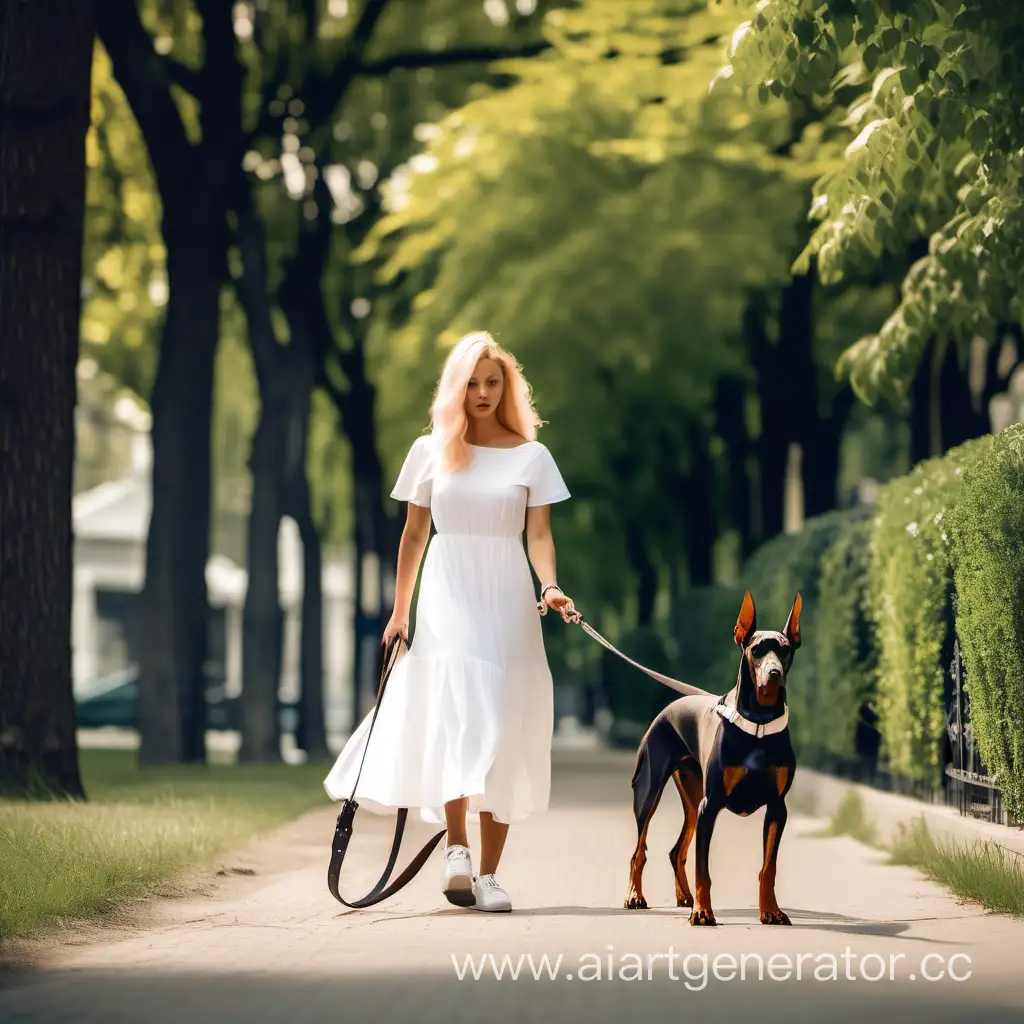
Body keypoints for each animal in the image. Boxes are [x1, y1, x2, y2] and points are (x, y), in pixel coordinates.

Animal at [622, 589, 798, 925]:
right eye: (756, 650)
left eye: (785, 650)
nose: (774, 674)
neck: (758, 722)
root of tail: (668, 708)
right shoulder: (711, 804)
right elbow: (702, 869)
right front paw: (703, 913)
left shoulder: (777, 807)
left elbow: (768, 868)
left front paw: (770, 910)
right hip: (650, 793)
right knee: (639, 850)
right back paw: (635, 896)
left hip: (692, 801)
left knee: (676, 851)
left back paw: (684, 897)